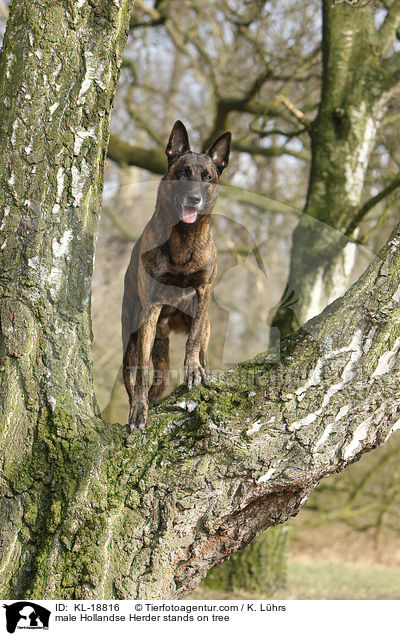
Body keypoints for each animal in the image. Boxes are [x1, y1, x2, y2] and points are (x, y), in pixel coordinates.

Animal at [121, 120, 231, 428]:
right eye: (183, 173)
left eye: (208, 177)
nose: (194, 199)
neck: (184, 237)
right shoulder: (151, 308)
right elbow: (142, 372)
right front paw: (139, 410)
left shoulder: (203, 293)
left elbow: (192, 341)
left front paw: (193, 370)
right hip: (132, 337)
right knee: (136, 378)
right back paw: (138, 403)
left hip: (202, 328)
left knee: (198, 349)